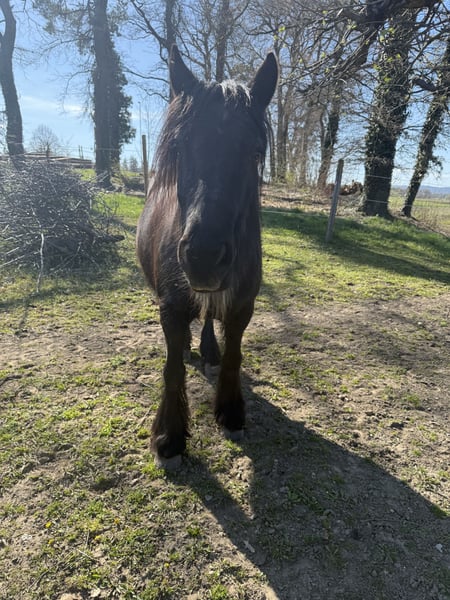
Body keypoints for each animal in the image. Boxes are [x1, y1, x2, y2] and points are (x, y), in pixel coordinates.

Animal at [136, 45, 278, 467]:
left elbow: (234, 355)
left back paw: (208, 350)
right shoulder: (170, 307)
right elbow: (171, 369)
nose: (203, 255)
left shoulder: (242, 305)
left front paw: (230, 413)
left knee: (210, 318)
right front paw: (168, 437)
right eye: (180, 149)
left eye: (254, 154)